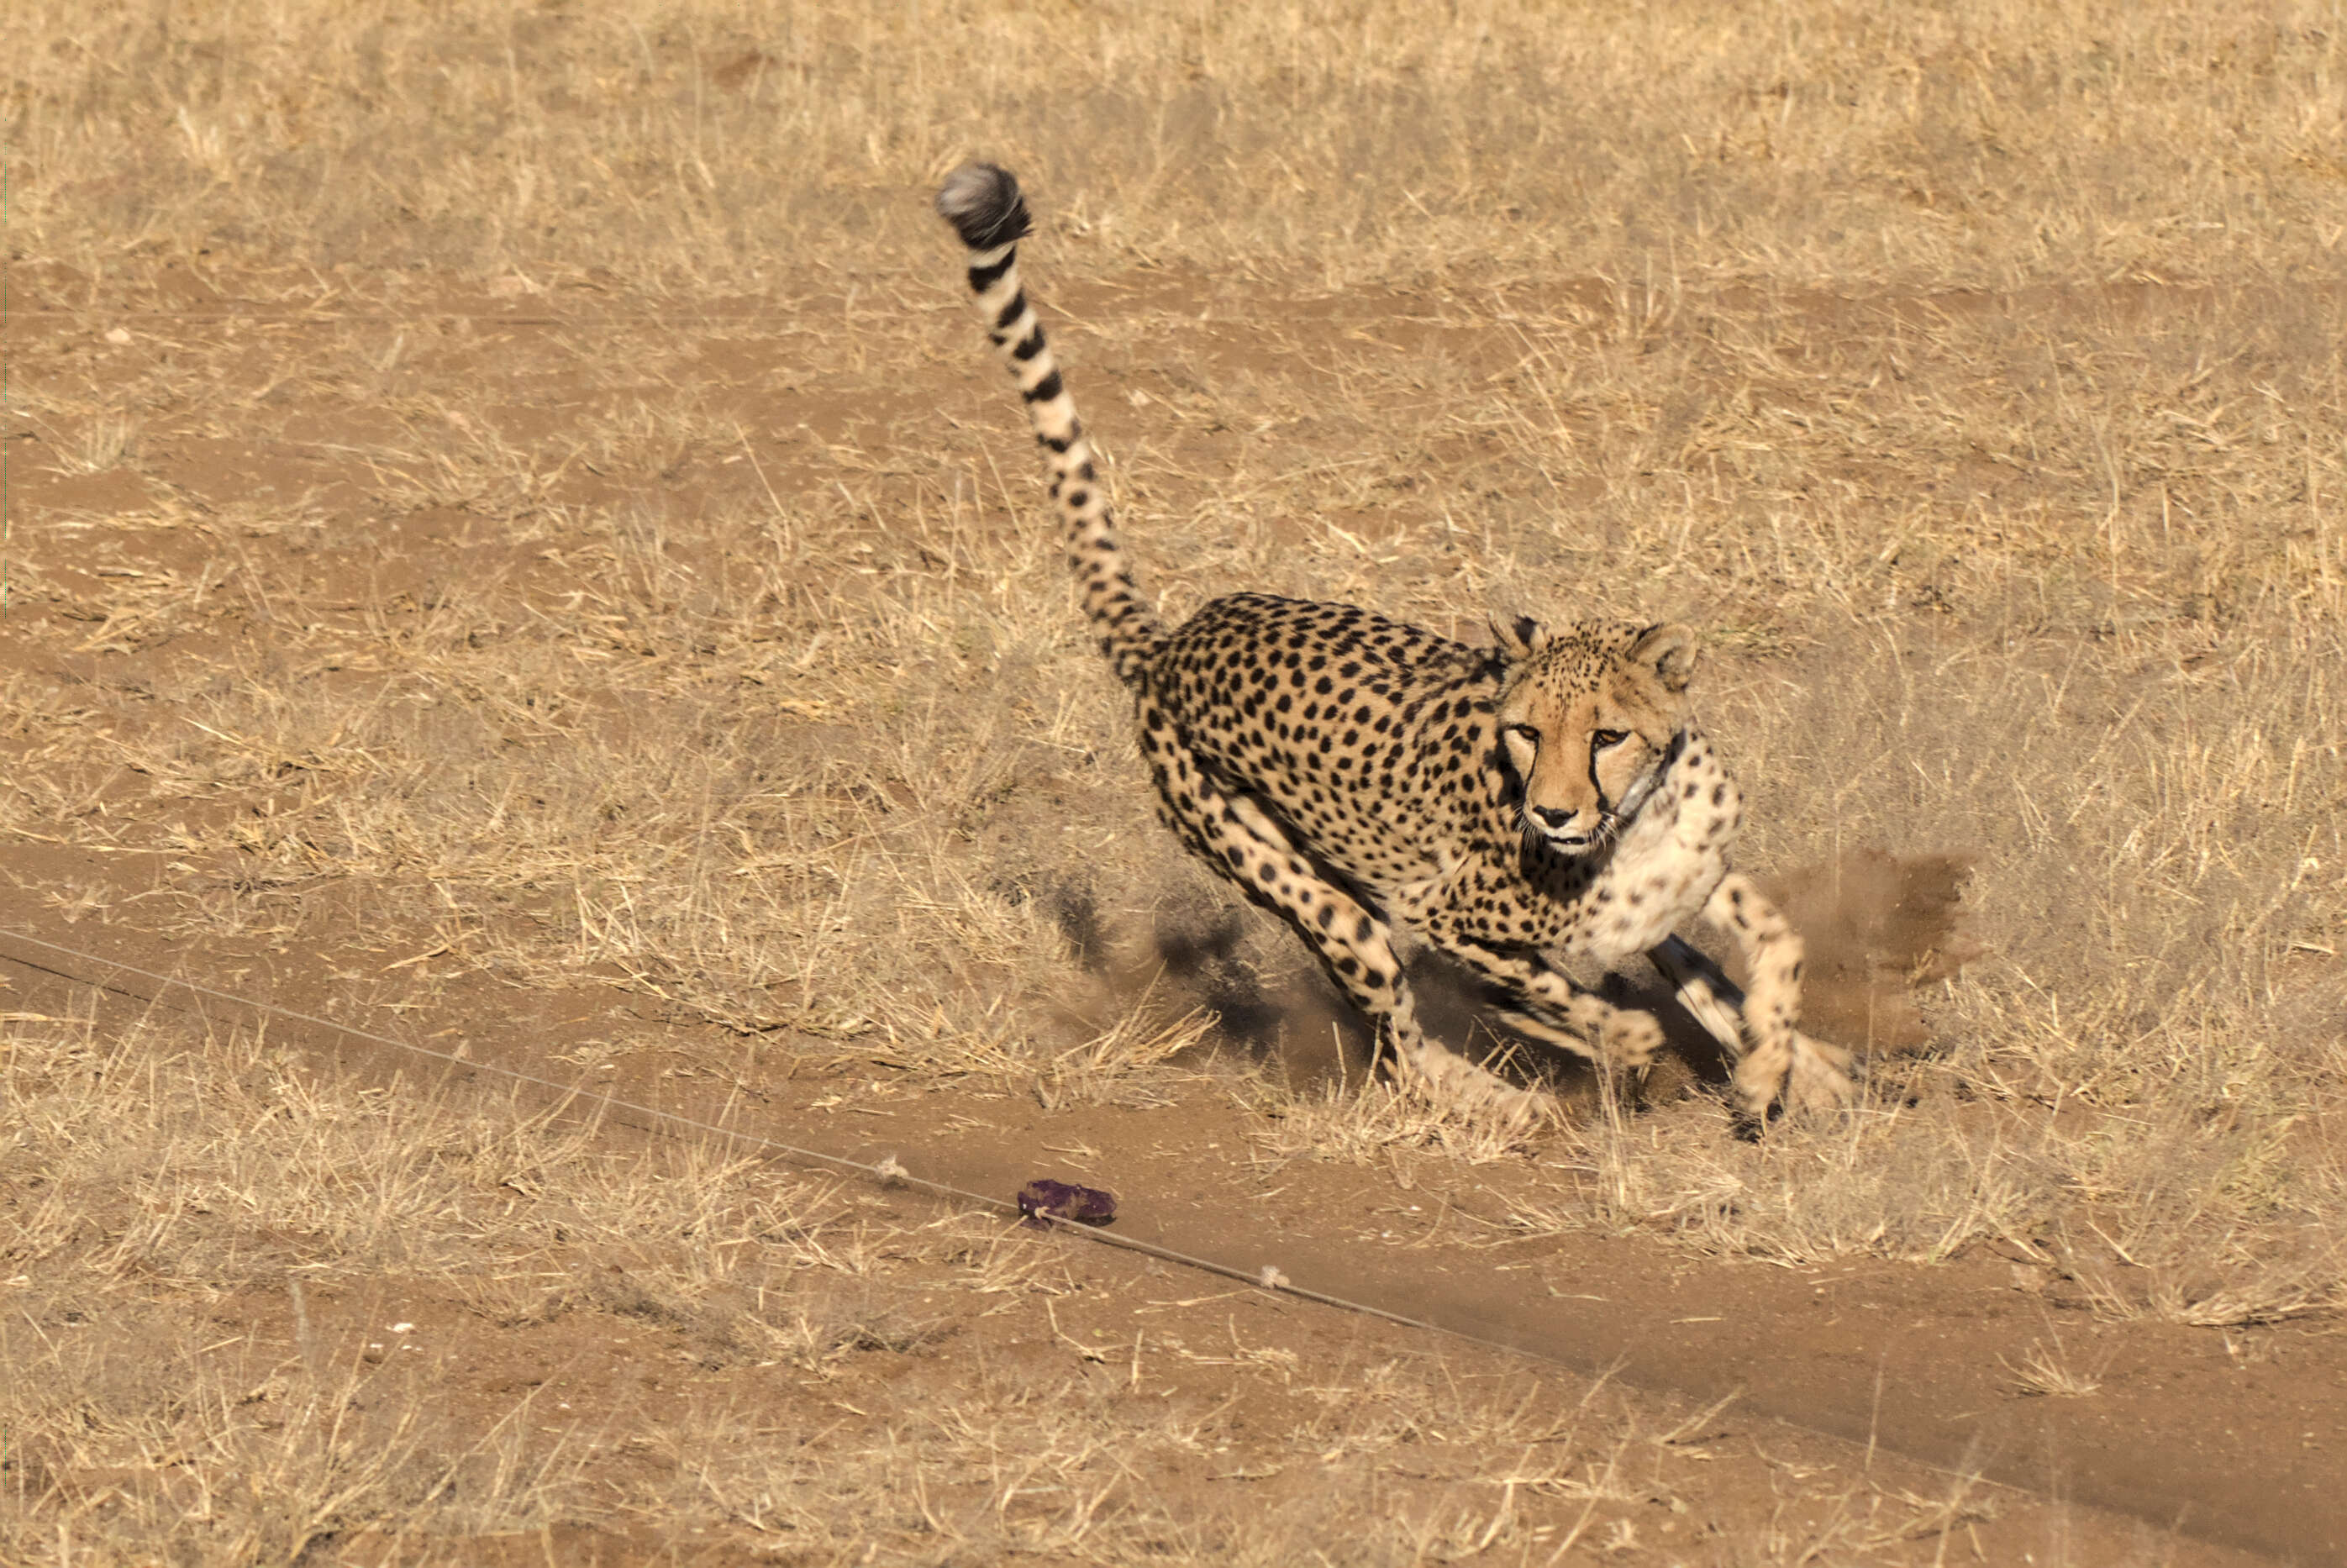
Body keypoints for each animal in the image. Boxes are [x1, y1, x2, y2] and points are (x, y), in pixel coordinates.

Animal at [934, 161, 1849, 1126]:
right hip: (1299, 885)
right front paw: (1631, 1048)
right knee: (1402, 1046)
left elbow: (1760, 954)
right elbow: (1561, 994)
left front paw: (1783, 1068)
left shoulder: (1681, 891)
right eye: (1525, 732)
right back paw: (1504, 1106)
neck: (1639, 824)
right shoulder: (1444, 909)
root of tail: (1181, 637)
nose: (1552, 815)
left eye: (1607, 734)